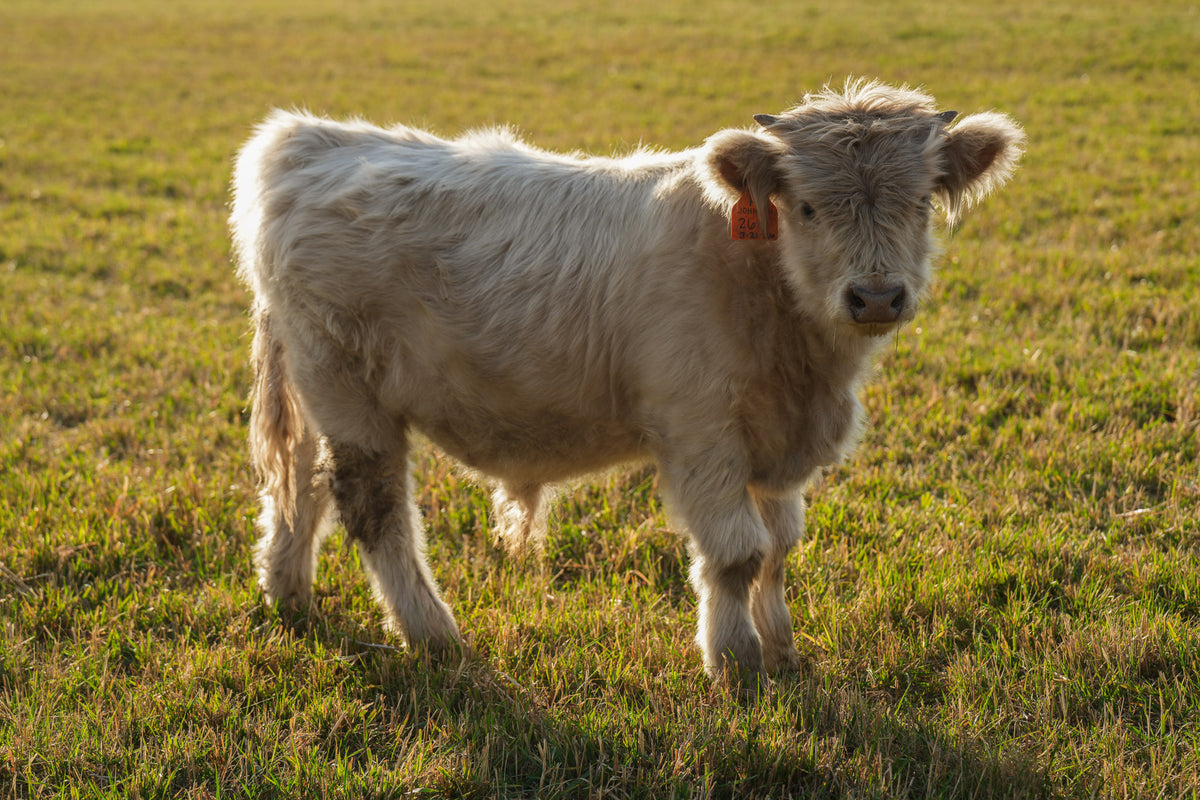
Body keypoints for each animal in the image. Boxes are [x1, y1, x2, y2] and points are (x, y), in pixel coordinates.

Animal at [230, 80, 1024, 684]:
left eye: (920, 203)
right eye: (806, 206)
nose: (877, 297)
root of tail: (310, 137)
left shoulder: (777, 447)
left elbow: (780, 548)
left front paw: (782, 649)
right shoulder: (701, 433)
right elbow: (737, 552)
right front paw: (735, 662)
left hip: (315, 388)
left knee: (301, 485)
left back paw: (287, 592)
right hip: (349, 390)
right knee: (373, 506)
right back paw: (434, 636)